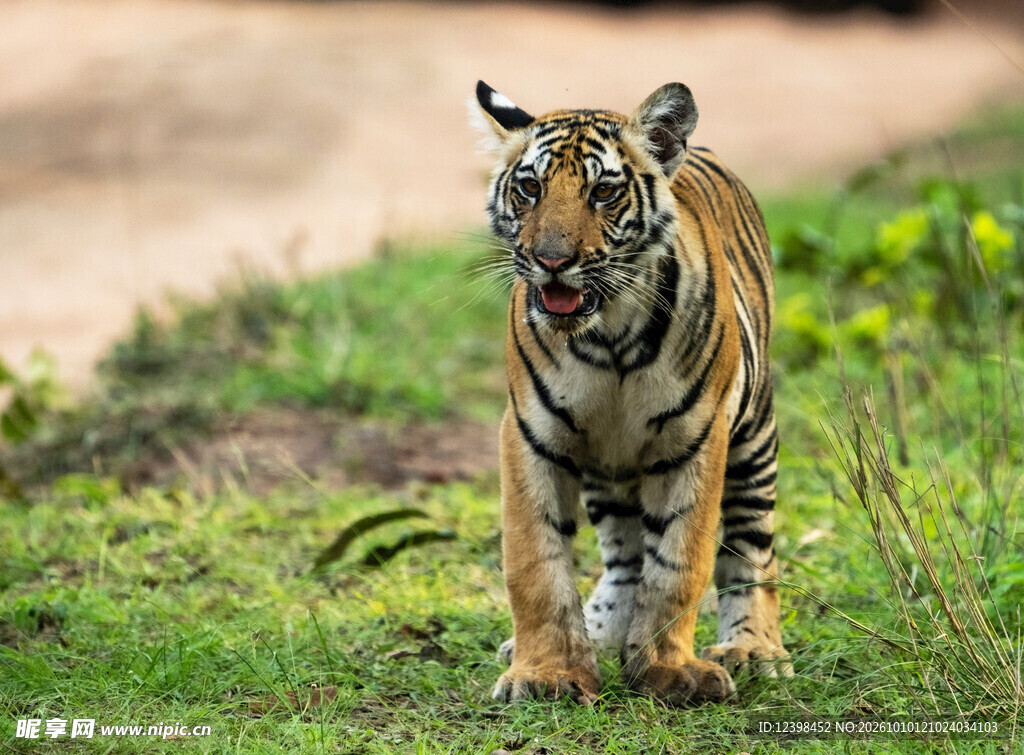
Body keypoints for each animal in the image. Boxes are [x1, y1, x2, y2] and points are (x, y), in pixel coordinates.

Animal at [471, 80, 792, 706]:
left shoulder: (697, 439)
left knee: (751, 550)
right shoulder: (531, 434)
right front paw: (546, 673)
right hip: (606, 467)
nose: (551, 261)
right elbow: (535, 562)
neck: (609, 335)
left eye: (602, 191)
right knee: (623, 557)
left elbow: (679, 564)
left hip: (753, 439)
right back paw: (598, 634)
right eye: (530, 187)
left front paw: (669, 671)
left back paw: (753, 650)